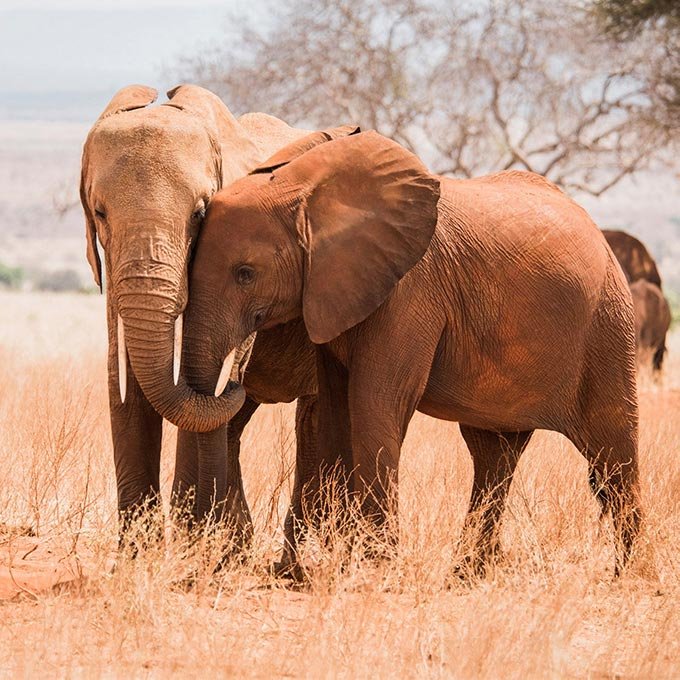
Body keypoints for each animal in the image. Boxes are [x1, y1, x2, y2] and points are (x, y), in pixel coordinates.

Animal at [153, 131, 644, 572]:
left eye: (245, 273)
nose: (235, 380)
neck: (306, 192)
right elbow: (337, 409)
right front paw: (334, 565)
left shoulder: (411, 289)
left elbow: (376, 399)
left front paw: (375, 567)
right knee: (494, 455)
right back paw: (467, 574)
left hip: (607, 326)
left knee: (610, 452)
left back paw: (628, 573)